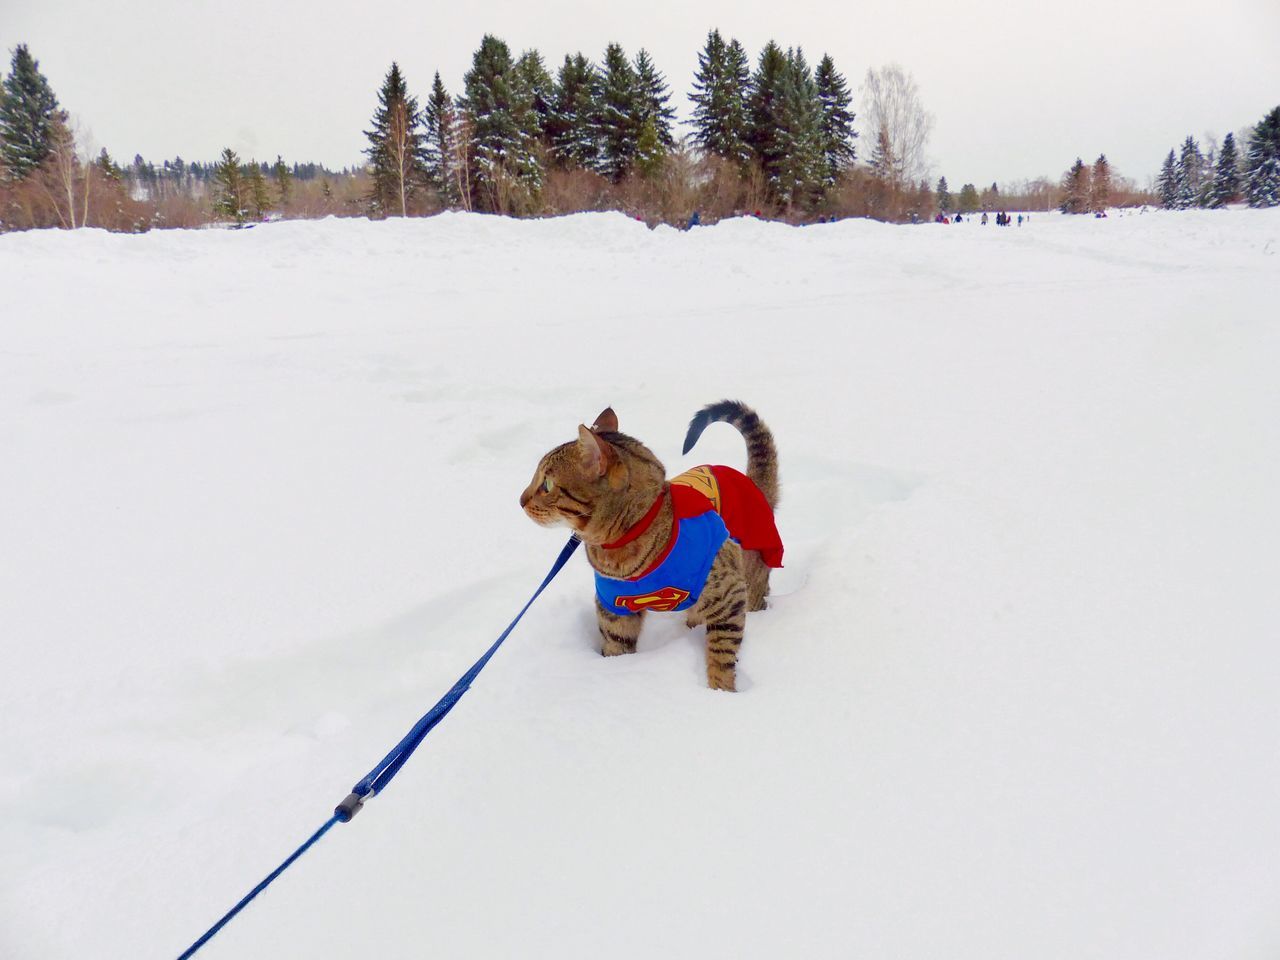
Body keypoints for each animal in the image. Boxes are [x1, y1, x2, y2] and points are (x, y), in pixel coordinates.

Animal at [517, 399, 778, 691]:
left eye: (547, 484)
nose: (520, 499)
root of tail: (752, 483)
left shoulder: (729, 594)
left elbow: (721, 654)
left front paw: (720, 692)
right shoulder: (614, 609)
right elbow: (616, 648)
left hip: (751, 575)